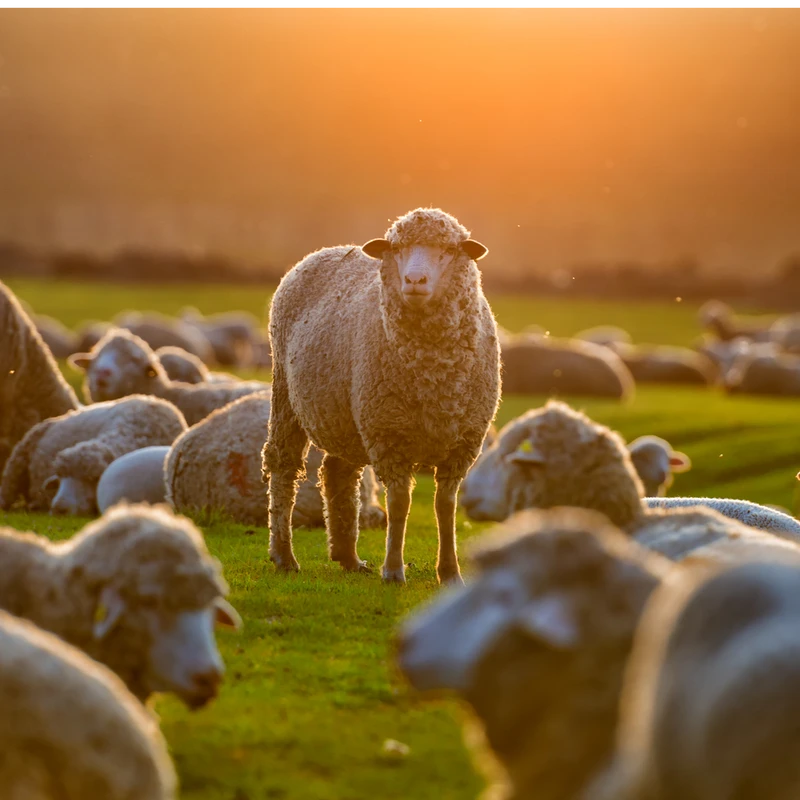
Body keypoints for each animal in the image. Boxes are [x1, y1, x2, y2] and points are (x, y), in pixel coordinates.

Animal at [264, 207, 500, 584]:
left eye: (449, 250)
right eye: (397, 248)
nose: (415, 281)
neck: (432, 370)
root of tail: (324, 251)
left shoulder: (462, 444)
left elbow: (445, 506)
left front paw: (449, 571)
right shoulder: (389, 434)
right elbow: (400, 503)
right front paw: (392, 570)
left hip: (345, 415)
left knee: (338, 472)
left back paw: (347, 557)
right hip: (285, 393)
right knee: (283, 467)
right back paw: (284, 556)